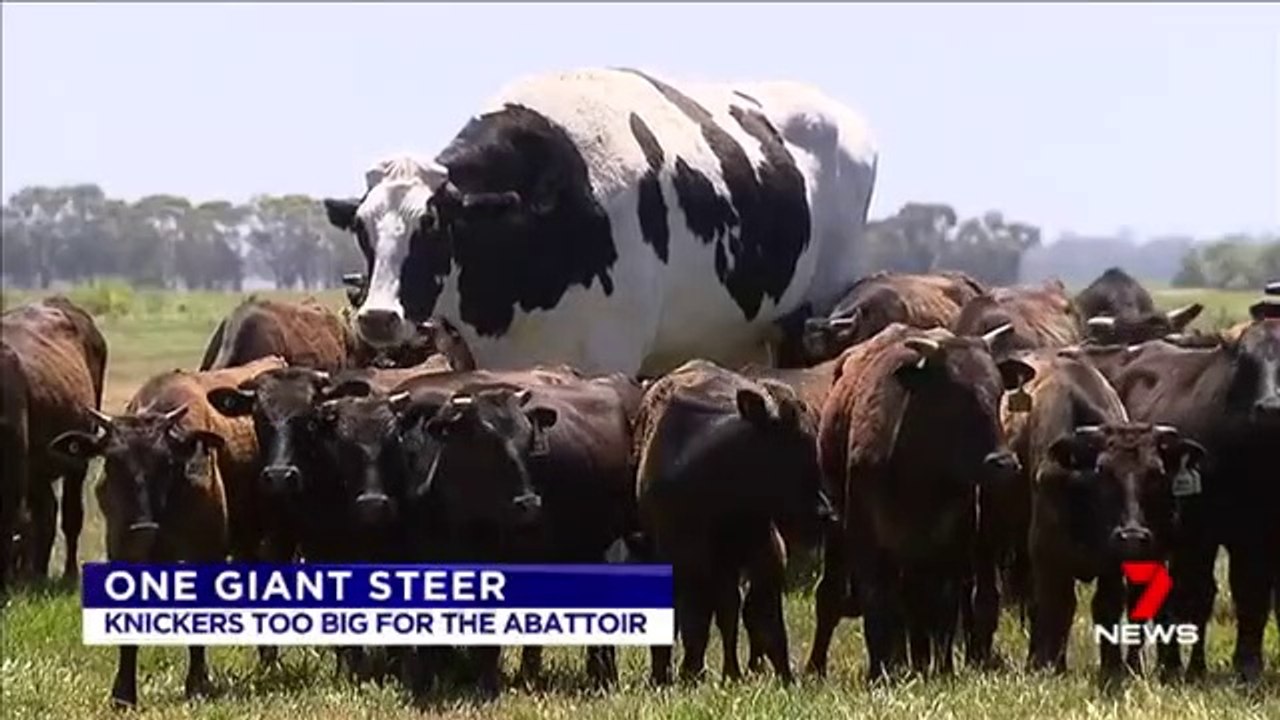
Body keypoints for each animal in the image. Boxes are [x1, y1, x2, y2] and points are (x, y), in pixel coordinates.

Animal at [48, 355, 282, 707]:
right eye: (112, 461)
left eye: (166, 462)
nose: (142, 528)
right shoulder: (123, 553)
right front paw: (123, 694)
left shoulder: (204, 553)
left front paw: (197, 683)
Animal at [632, 360, 833, 685]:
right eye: (789, 448)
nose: (823, 512)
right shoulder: (687, 556)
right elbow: (697, 617)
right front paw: (689, 671)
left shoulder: (762, 550)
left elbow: (759, 615)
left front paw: (777, 674)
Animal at [805, 323, 1035, 679]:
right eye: (954, 398)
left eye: (999, 393)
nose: (1004, 463)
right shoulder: (867, 540)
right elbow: (878, 605)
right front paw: (880, 672)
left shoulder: (951, 544)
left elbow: (942, 607)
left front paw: (941, 669)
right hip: (838, 530)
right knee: (831, 596)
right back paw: (818, 668)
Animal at [1109, 316, 1280, 683]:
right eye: (1245, 361)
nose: (1270, 408)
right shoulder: (1201, 535)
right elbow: (1198, 596)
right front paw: (1192, 669)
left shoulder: (1258, 536)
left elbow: (1253, 595)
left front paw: (1248, 666)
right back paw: (1161, 663)